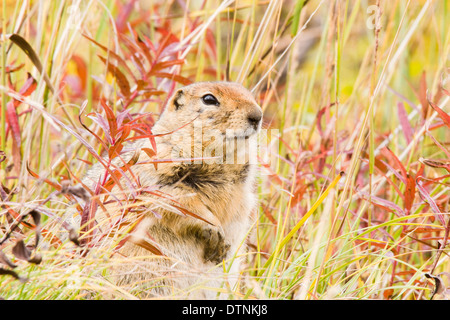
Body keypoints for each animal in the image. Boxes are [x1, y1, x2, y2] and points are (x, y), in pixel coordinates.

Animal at [82, 81, 262, 298]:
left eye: (248, 93)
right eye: (209, 99)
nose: (257, 115)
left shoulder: (242, 192)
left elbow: (240, 212)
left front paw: (223, 244)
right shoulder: (158, 173)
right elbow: (179, 203)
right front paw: (214, 230)